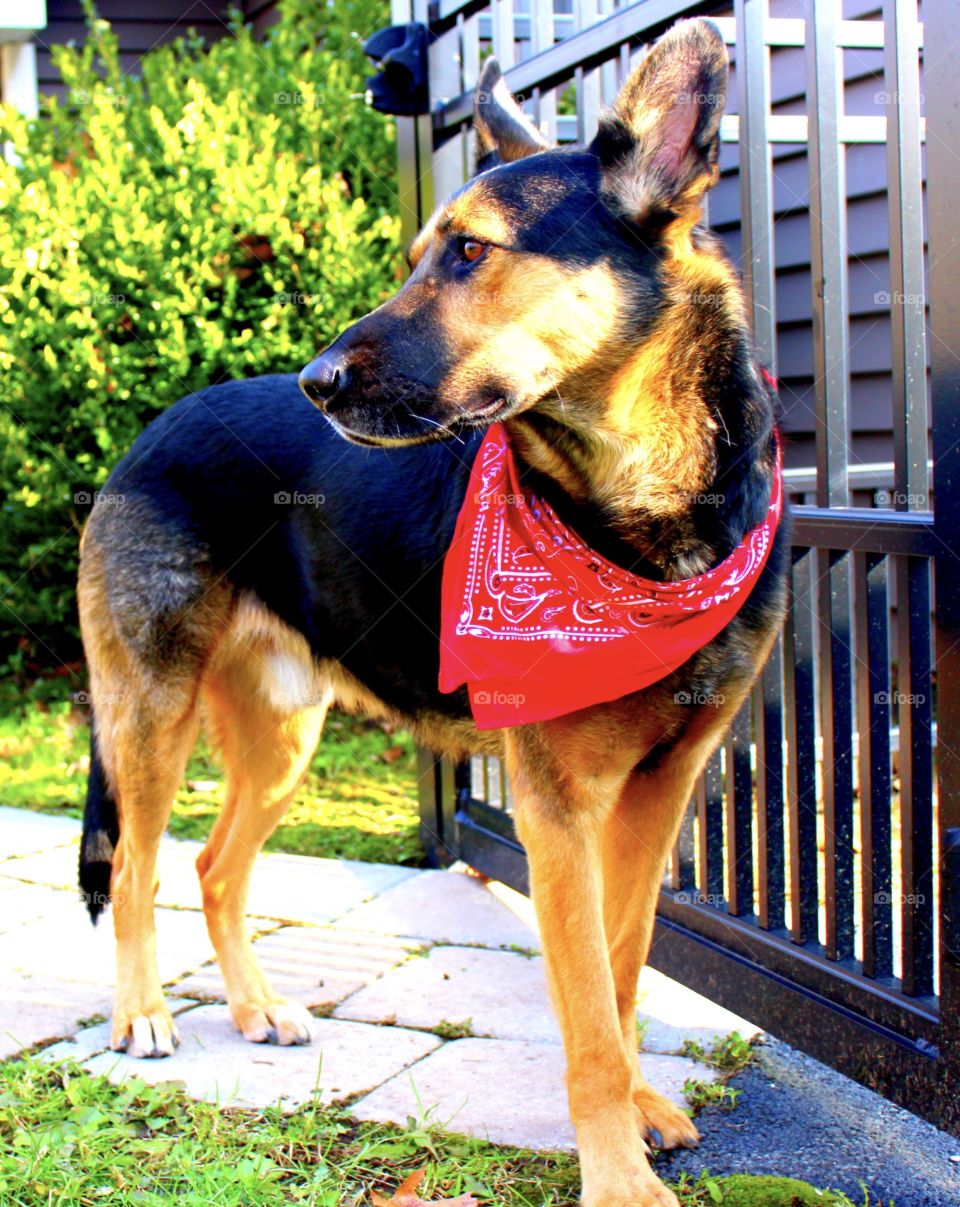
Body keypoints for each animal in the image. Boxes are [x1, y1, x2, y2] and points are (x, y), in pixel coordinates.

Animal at [79, 21, 787, 1207]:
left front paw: (642, 1111)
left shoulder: (659, 791)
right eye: (426, 253)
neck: (634, 530)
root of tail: (153, 425)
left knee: (216, 866)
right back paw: (141, 1014)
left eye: (469, 253)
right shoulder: (556, 812)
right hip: (150, 713)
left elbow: (624, 969)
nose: (316, 382)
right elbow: (589, 1016)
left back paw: (255, 1006)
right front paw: (617, 1173)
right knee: (136, 867)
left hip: (282, 738)